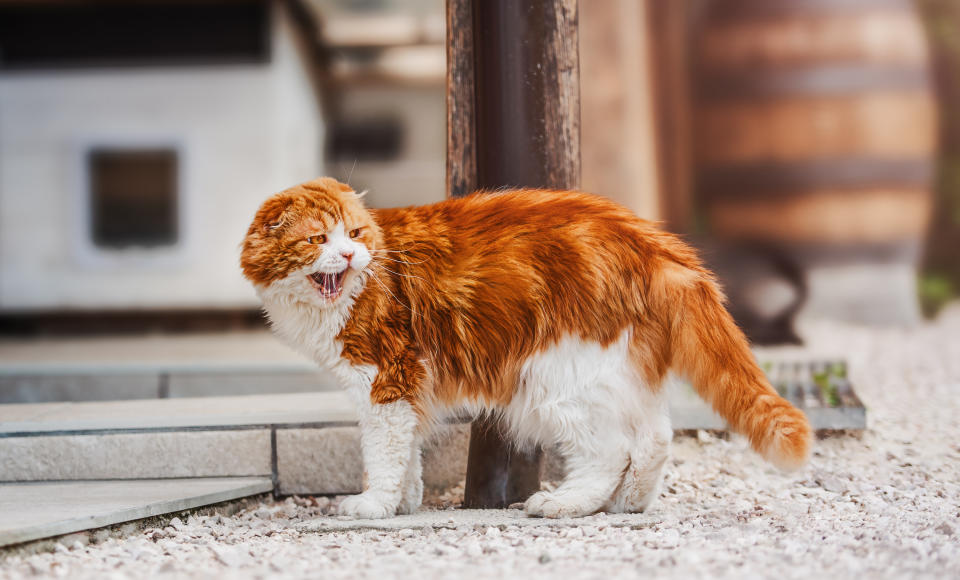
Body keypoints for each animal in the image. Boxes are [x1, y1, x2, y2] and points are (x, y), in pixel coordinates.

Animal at [240, 178, 808, 520]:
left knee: (613, 450)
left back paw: (567, 503)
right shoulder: (405, 391)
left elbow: (383, 454)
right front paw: (404, 503)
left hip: (557, 380)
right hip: (619, 372)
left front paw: (376, 505)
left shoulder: (385, 380)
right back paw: (628, 503)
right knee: (655, 438)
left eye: (354, 233)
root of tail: (649, 238)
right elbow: (408, 457)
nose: (349, 255)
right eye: (319, 239)